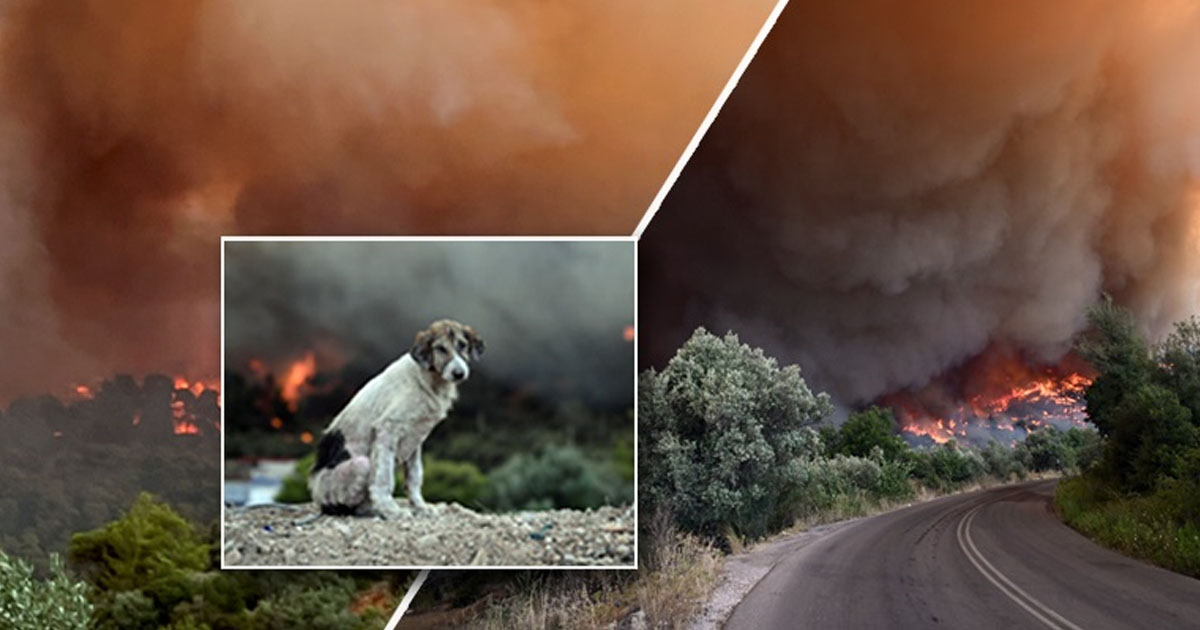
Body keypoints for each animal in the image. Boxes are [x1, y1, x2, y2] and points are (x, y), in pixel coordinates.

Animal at [307, 316, 484, 518]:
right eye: (441, 349)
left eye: (462, 345)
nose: (459, 373)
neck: (428, 379)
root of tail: (318, 498)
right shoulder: (387, 430)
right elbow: (383, 478)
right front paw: (391, 510)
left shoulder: (415, 438)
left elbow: (414, 477)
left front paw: (421, 506)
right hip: (361, 464)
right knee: (348, 507)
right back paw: (373, 510)